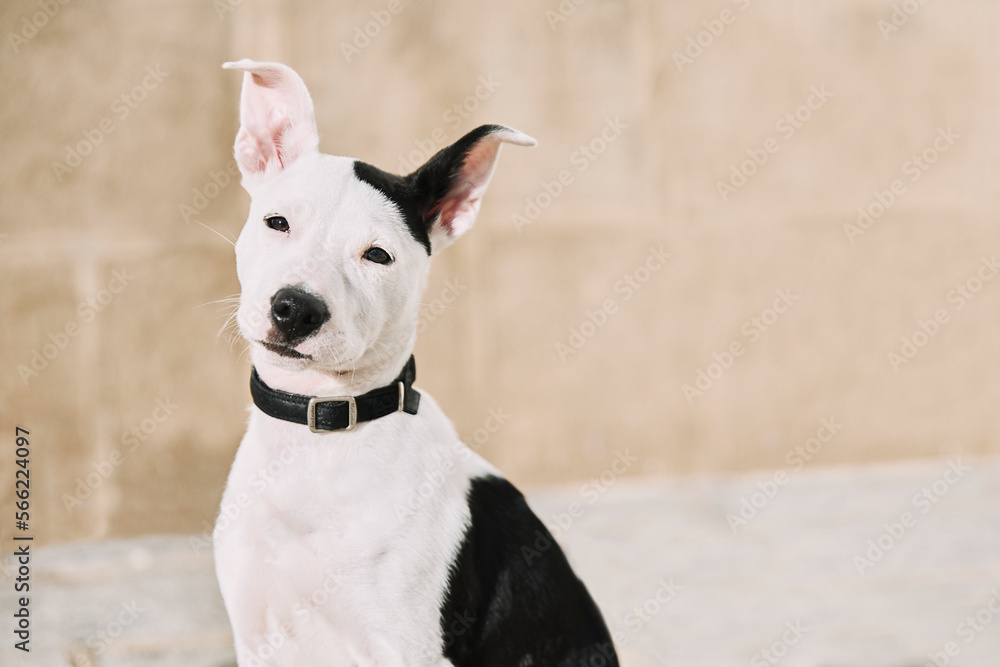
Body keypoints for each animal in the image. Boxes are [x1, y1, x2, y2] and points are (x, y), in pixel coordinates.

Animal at [214, 58, 612, 667]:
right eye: (277, 223)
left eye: (378, 256)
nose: (296, 309)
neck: (319, 441)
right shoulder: (258, 639)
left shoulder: (406, 650)